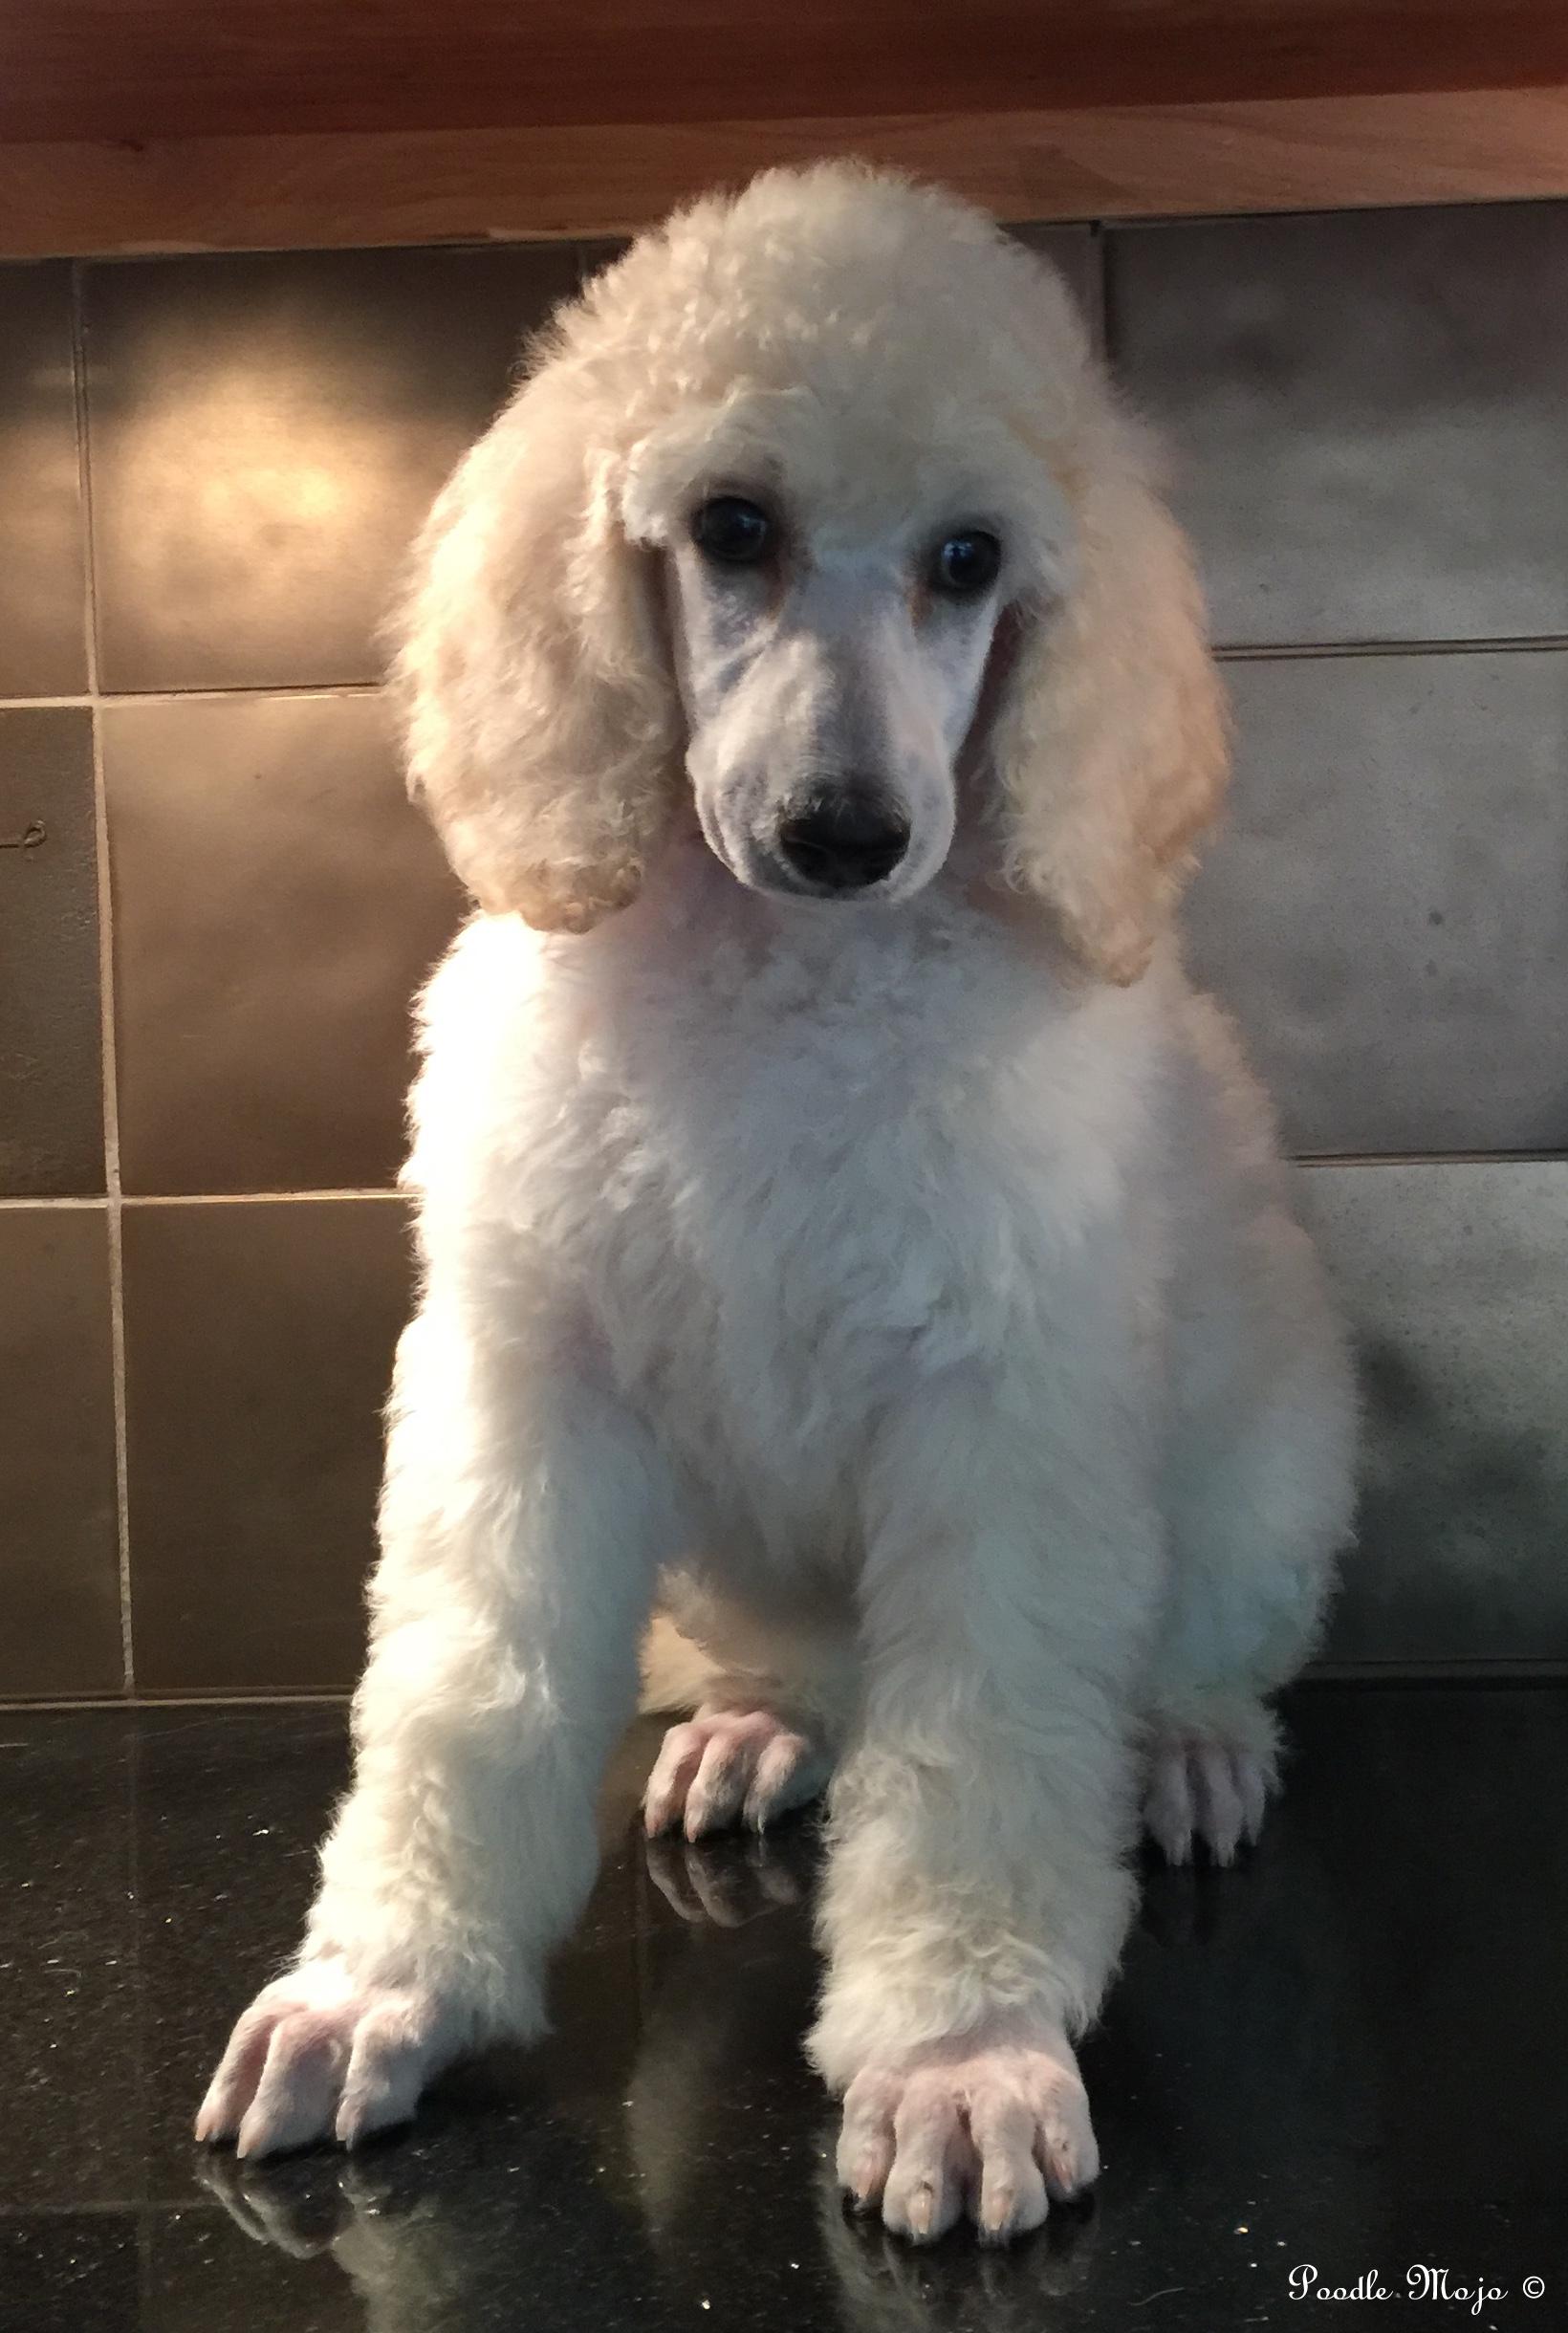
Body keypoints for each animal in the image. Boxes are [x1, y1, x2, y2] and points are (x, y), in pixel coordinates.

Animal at [196, 160, 1353, 2239]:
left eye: (970, 560)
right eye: (734, 526)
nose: (845, 831)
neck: (788, 978)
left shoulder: (1000, 1431)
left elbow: (980, 1743)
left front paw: (957, 2053)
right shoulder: (525, 1381)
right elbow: (470, 1691)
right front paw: (380, 1987)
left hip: (1265, 1477)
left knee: (1198, 1643)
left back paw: (1192, 1746)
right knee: (807, 1678)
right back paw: (757, 1723)